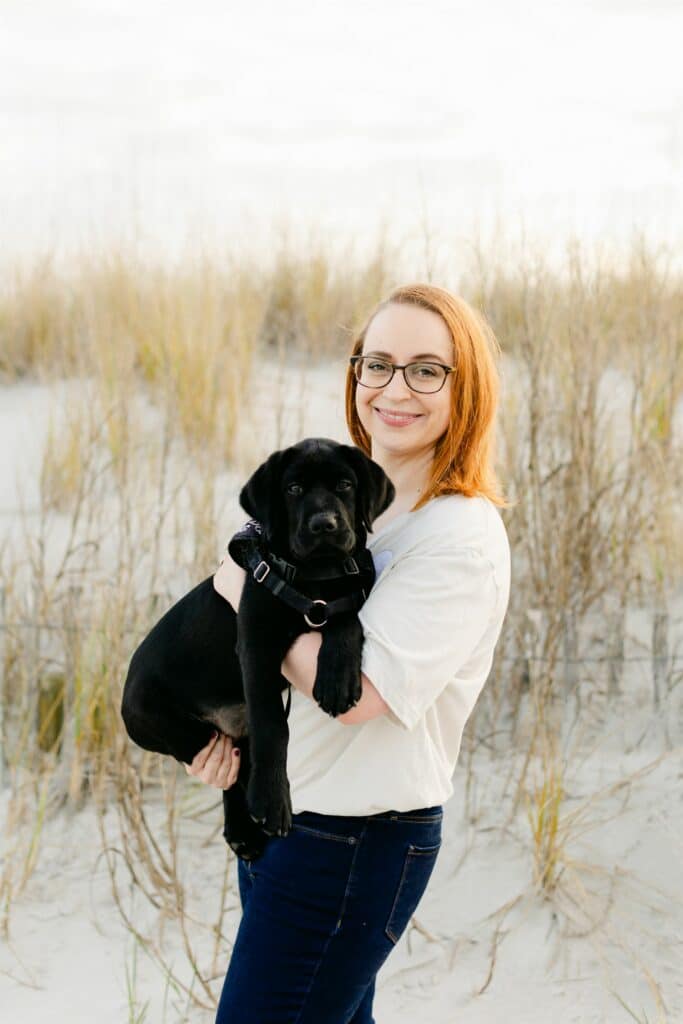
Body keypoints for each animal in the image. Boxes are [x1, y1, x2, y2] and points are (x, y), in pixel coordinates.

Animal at [120, 436, 393, 860]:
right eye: (293, 489)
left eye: (345, 485)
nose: (324, 525)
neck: (317, 574)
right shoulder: (255, 643)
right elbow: (273, 726)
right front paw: (272, 800)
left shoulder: (352, 594)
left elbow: (347, 620)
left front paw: (337, 681)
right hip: (161, 721)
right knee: (232, 768)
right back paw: (247, 821)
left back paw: (242, 832)